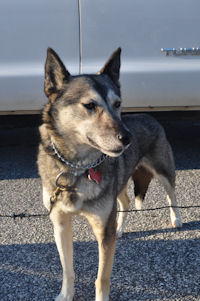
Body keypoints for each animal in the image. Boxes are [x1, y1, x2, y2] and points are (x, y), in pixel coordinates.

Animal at [37, 48, 183, 298]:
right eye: (90, 105)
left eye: (117, 104)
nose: (128, 138)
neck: (77, 167)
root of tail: (149, 116)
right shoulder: (60, 223)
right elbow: (67, 269)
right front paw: (66, 295)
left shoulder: (104, 232)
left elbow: (101, 278)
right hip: (120, 184)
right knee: (125, 202)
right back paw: (121, 229)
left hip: (163, 170)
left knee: (171, 194)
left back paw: (176, 218)